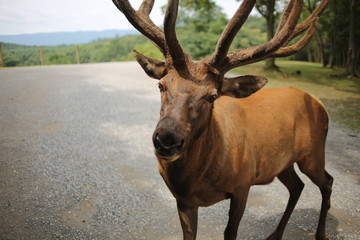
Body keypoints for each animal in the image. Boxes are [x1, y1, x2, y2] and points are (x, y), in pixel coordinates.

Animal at [113, 0, 334, 239]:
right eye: (161, 85)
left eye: (212, 96)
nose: (166, 140)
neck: (195, 181)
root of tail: (319, 103)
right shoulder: (183, 200)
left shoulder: (243, 186)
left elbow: (230, 232)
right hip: (283, 163)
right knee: (297, 187)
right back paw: (275, 234)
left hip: (312, 154)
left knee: (327, 182)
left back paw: (320, 233)